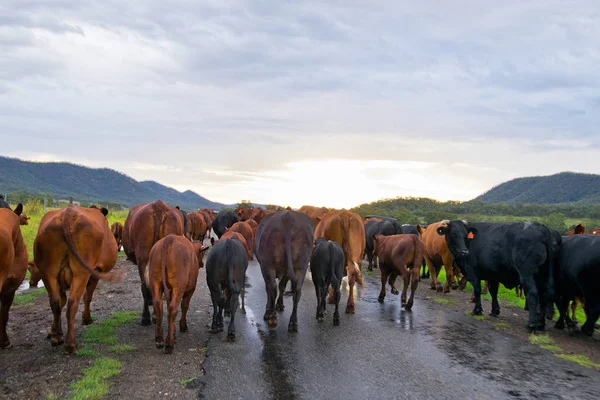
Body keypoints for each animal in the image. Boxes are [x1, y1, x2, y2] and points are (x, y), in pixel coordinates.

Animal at [34, 205, 121, 352]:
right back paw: (70, 343)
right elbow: (88, 296)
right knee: (73, 302)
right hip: (81, 273)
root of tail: (68, 212)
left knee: (55, 301)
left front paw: (53, 330)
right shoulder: (96, 272)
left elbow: (61, 300)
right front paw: (86, 319)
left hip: (48, 272)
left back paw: (57, 337)